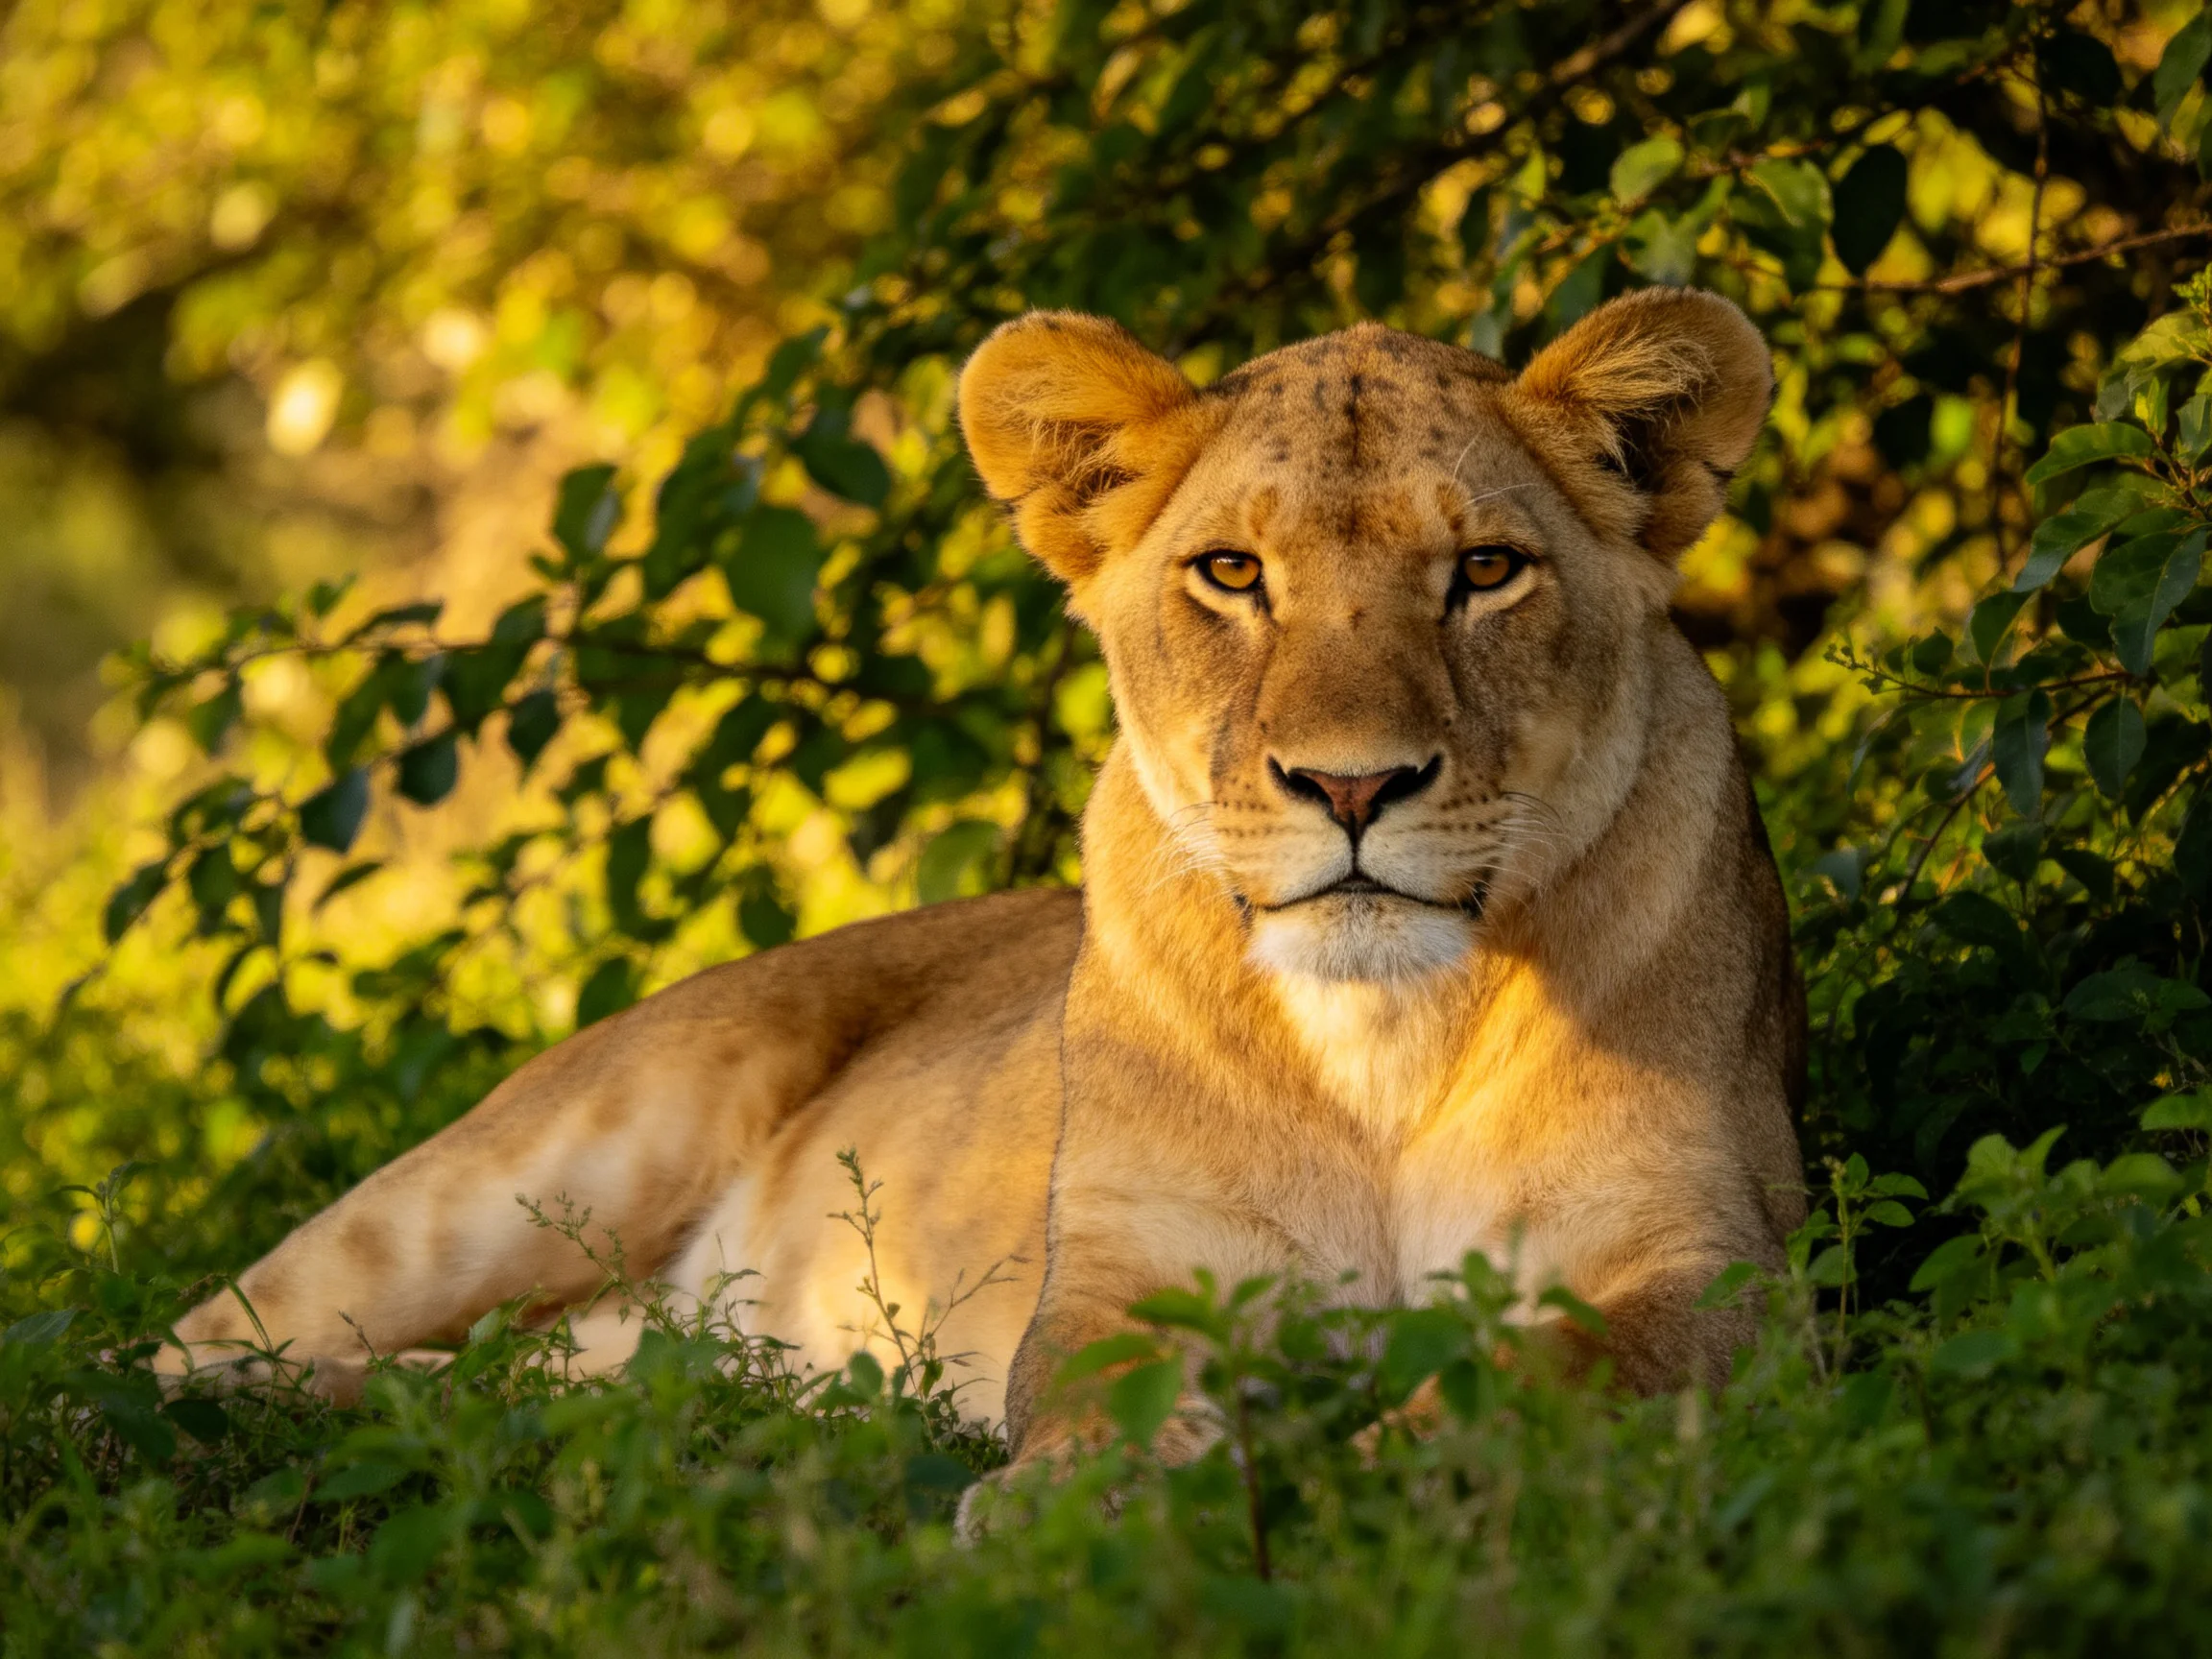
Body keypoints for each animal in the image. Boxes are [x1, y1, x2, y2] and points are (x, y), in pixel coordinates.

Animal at [157, 286, 1806, 1492]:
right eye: (1230, 574)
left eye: (1484, 570)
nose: (1351, 788)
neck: (1380, 1039)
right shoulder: (1130, 1270)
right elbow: (1100, 1397)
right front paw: (1073, 1510)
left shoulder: (1712, 1270)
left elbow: (1534, 1379)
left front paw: (1362, 1468)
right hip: (537, 1167)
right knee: (183, 1348)